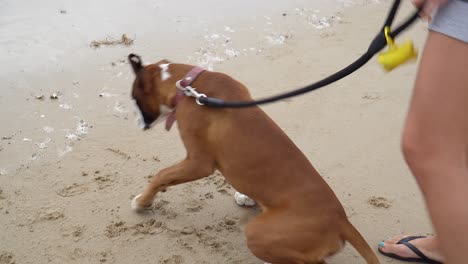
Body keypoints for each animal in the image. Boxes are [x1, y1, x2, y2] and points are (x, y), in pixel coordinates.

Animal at [128, 54, 380, 264]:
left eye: (134, 99)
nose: (137, 123)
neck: (188, 85)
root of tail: (341, 220)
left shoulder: (198, 163)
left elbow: (161, 175)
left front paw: (142, 202)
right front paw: (246, 196)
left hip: (257, 233)